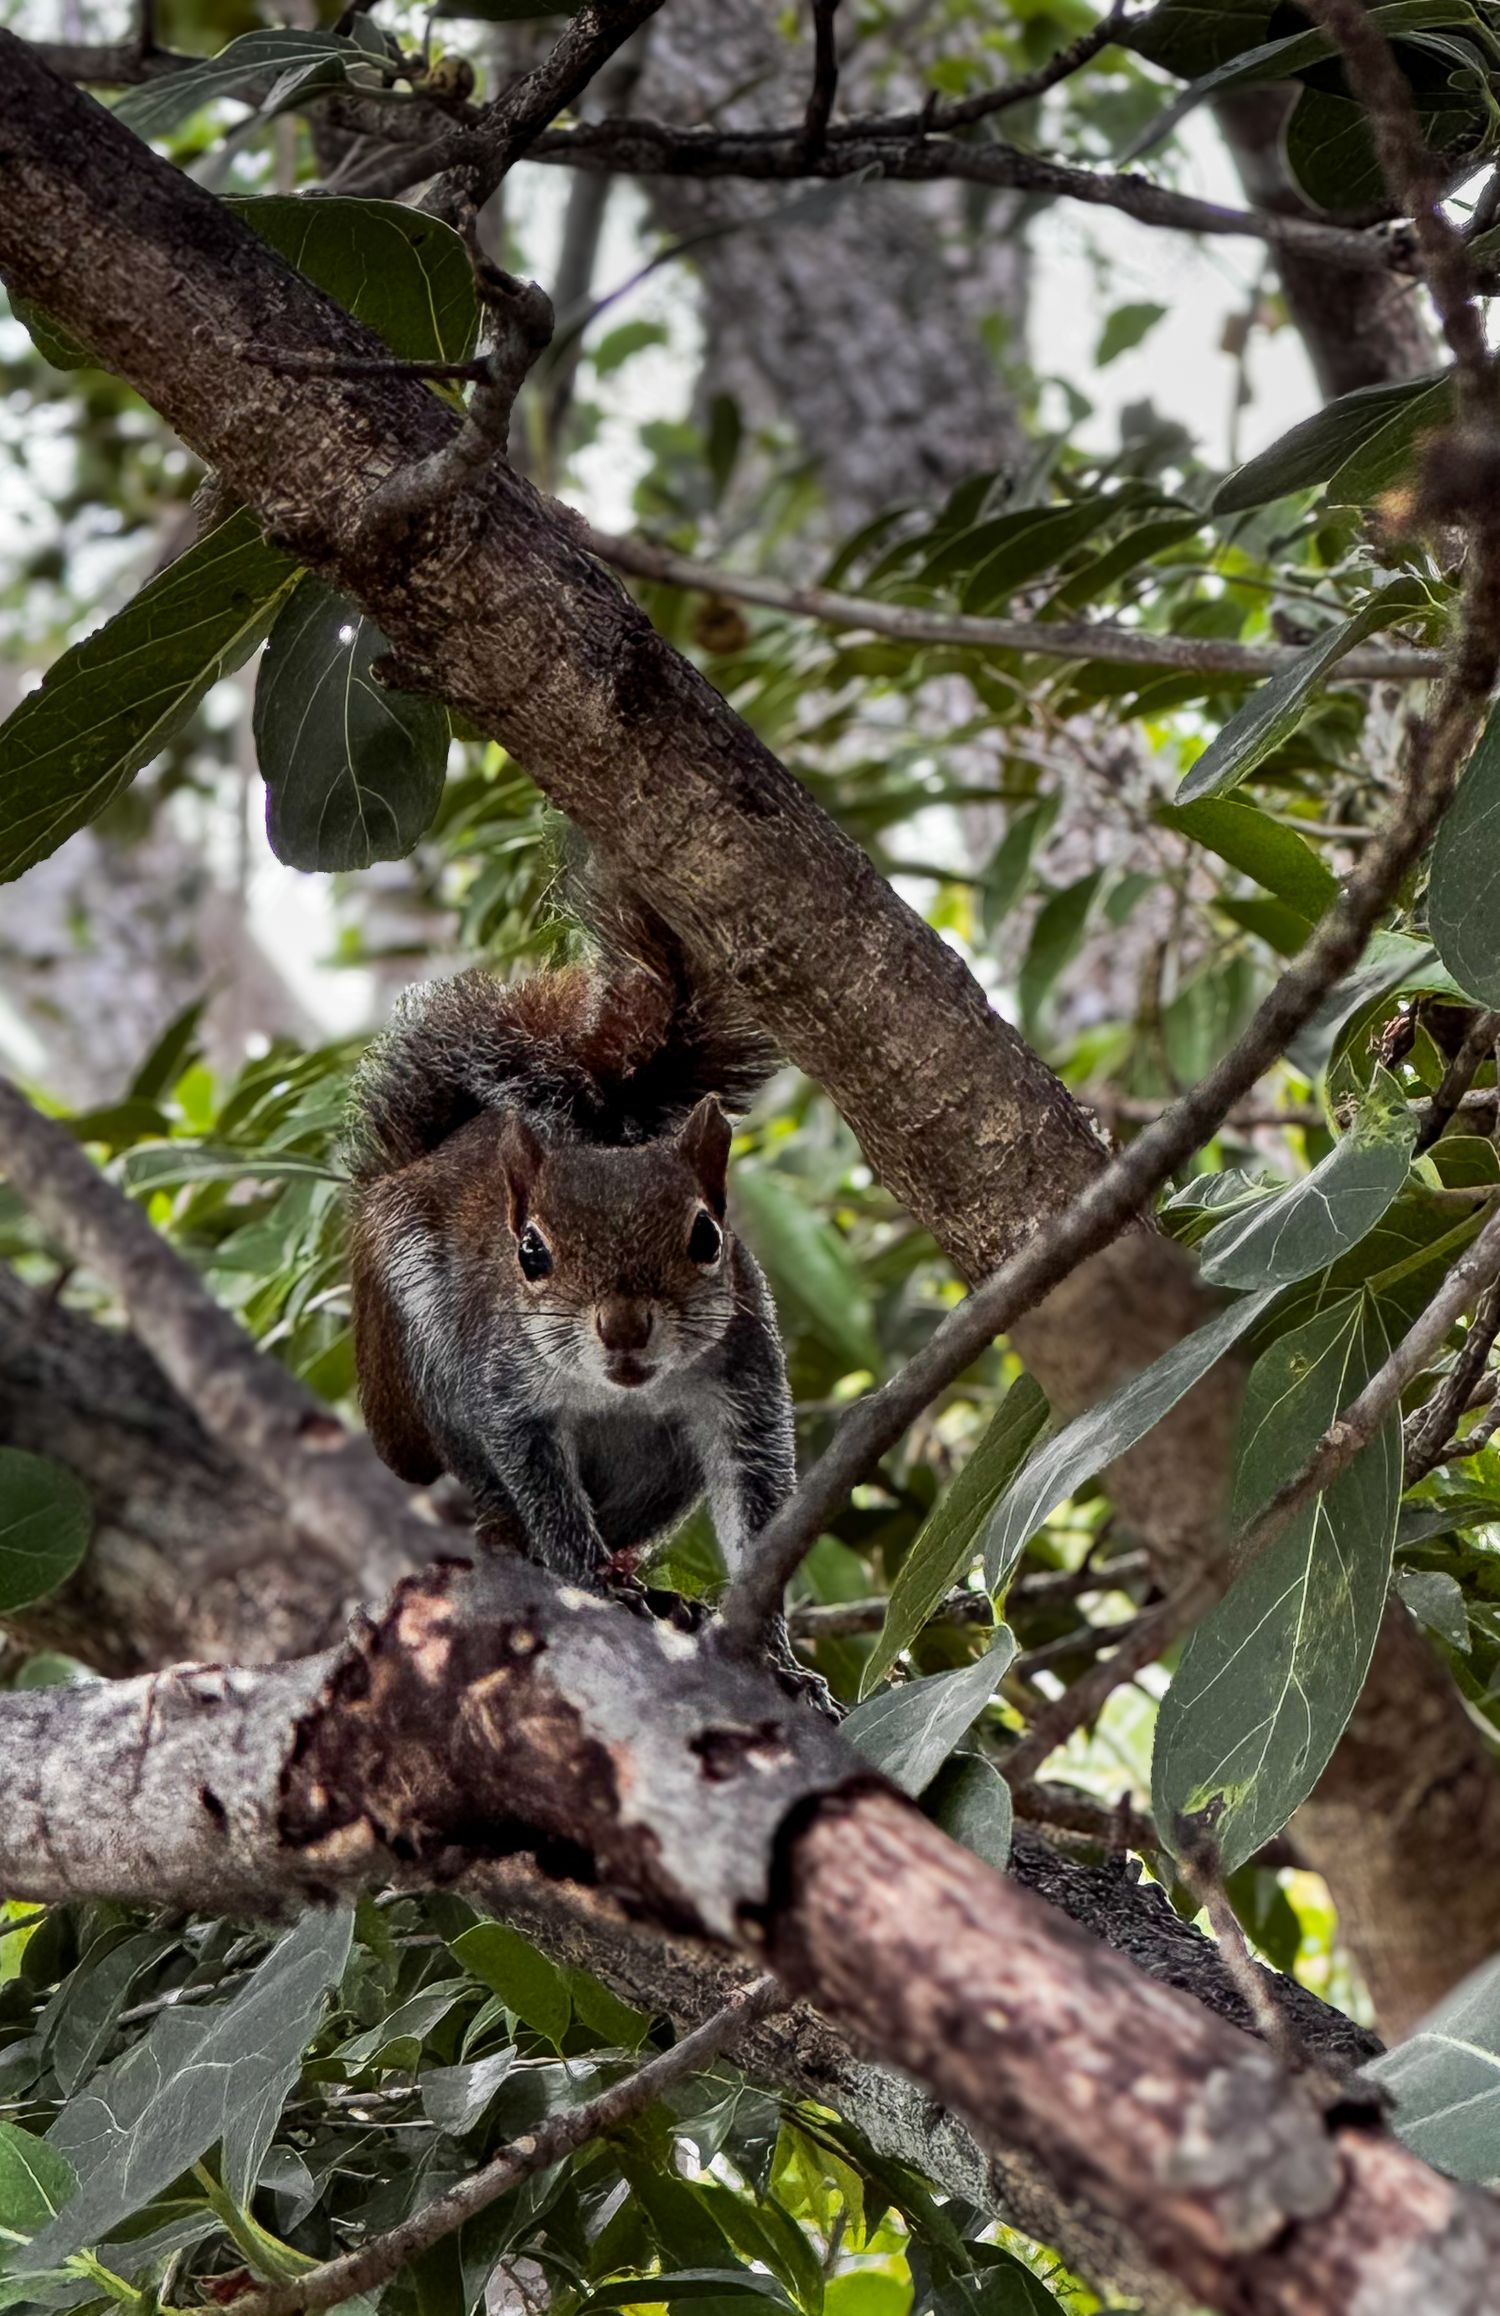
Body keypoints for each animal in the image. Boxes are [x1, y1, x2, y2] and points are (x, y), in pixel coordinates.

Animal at [343, 878, 795, 1597]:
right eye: (530, 1252)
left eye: (707, 1238)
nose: (624, 1327)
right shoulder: (507, 1394)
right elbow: (543, 1490)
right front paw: (583, 1572)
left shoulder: (745, 1387)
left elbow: (757, 1505)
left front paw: (770, 1624)